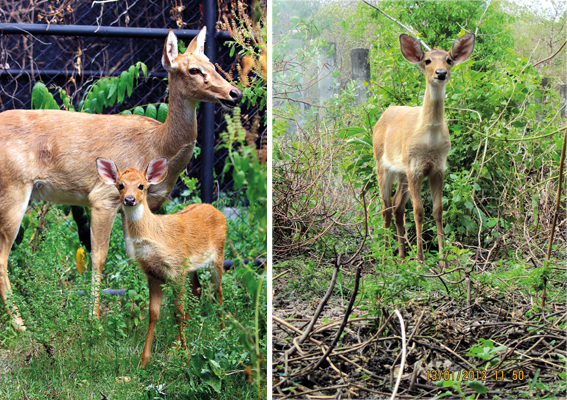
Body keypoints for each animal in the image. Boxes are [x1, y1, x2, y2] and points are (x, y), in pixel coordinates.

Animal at [0, 28, 242, 332]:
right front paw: (95, 323)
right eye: (194, 69)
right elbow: (99, 258)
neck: (158, 145)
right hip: (13, 188)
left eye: (212, 63)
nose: (235, 92)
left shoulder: (145, 204)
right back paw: (21, 325)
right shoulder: (103, 197)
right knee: (2, 258)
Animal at [96, 155, 226, 368]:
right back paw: (174, 346)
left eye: (141, 185)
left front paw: (187, 358)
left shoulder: (176, 269)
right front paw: (144, 361)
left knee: (218, 291)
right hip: (192, 267)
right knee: (198, 290)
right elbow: (154, 313)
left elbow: (177, 312)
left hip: (218, 257)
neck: (154, 236)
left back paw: (223, 332)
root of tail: (216, 209)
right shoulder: (153, 275)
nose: (129, 199)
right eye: (120, 185)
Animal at [372, 33, 474, 266]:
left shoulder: (438, 168)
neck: (429, 139)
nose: (441, 73)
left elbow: (438, 211)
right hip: (382, 165)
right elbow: (419, 211)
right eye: (427, 60)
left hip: (401, 173)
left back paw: (401, 256)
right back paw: (385, 257)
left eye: (448, 59)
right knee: (385, 207)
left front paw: (443, 261)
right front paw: (420, 258)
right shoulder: (415, 168)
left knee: (397, 206)